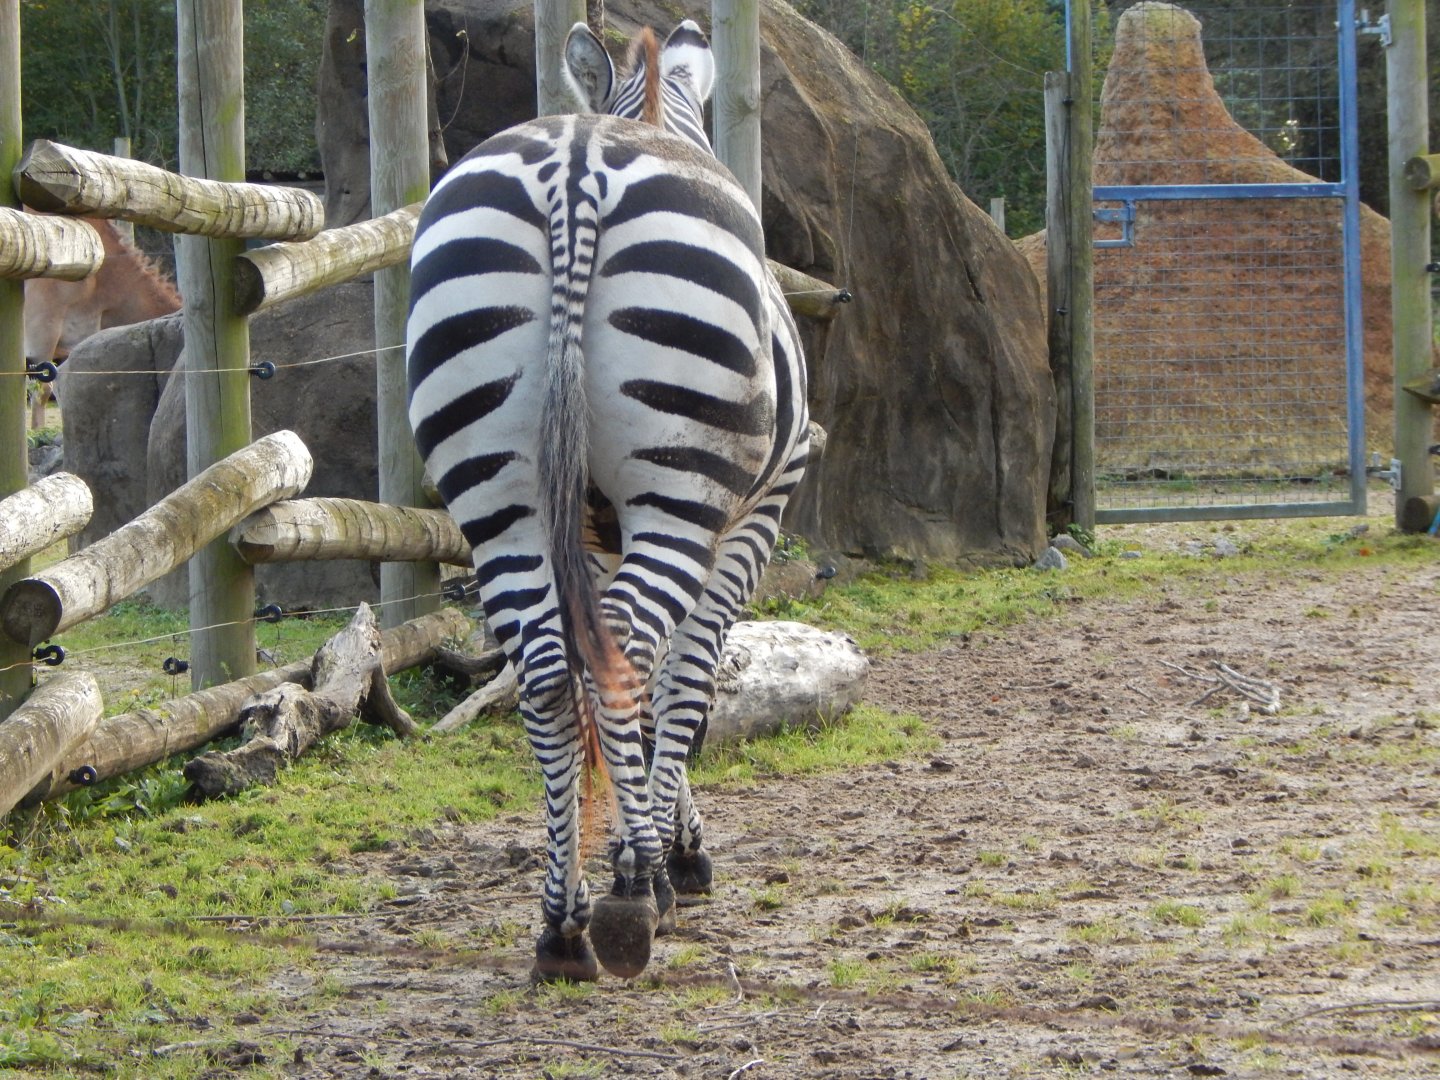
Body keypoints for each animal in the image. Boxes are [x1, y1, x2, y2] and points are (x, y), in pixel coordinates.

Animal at [406, 20, 809, 981]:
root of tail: (576, 163)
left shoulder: (587, 534)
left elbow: (637, 687)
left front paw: (657, 843)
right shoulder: (756, 513)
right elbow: (685, 683)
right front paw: (672, 857)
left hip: (498, 488)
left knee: (551, 670)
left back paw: (563, 924)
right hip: (680, 482)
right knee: (626, 644)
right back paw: (631, 899)